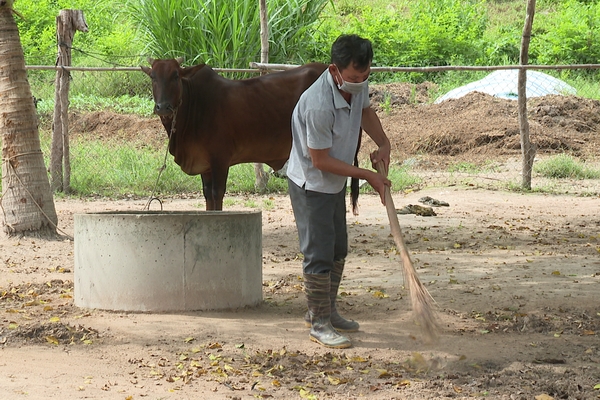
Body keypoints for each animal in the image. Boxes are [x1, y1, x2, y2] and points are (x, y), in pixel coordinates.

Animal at [141, 58, 328, 212]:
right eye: (152, 77)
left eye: (176, 76)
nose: (162, 107)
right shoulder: (205, 164)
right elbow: (207, 194)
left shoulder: (220, 160)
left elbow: (217, 194)